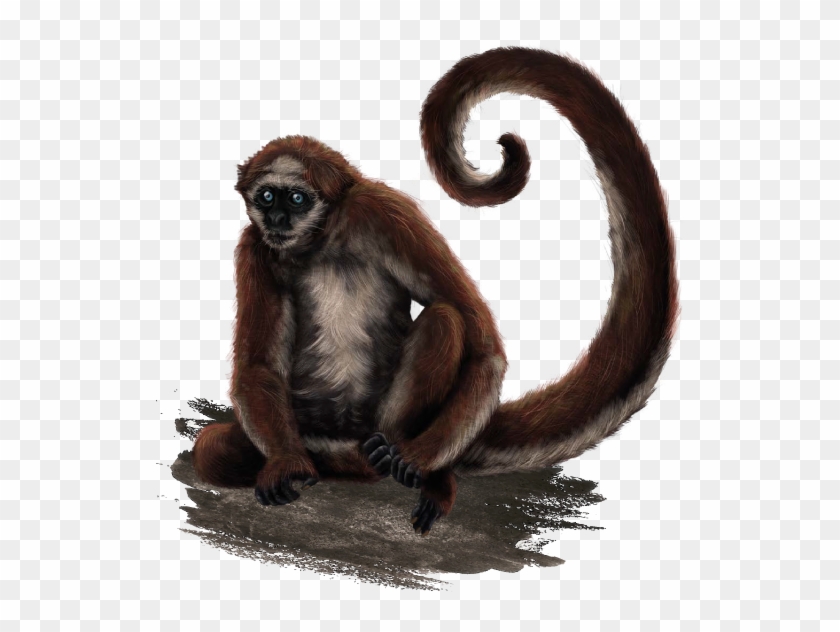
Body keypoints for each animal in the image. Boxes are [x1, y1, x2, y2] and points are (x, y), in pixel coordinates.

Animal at [192, 47, 679, 537]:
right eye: (266, 196)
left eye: (295, 199)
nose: (277, 219)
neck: (323, 240)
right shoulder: (254, 246)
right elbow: (258, 367)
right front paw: (286, 462)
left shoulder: (385, 212)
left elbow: (484, 347)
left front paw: (420, 461)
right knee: (210, 450)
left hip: (380, 427)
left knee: (445, 320)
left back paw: (422, 471)